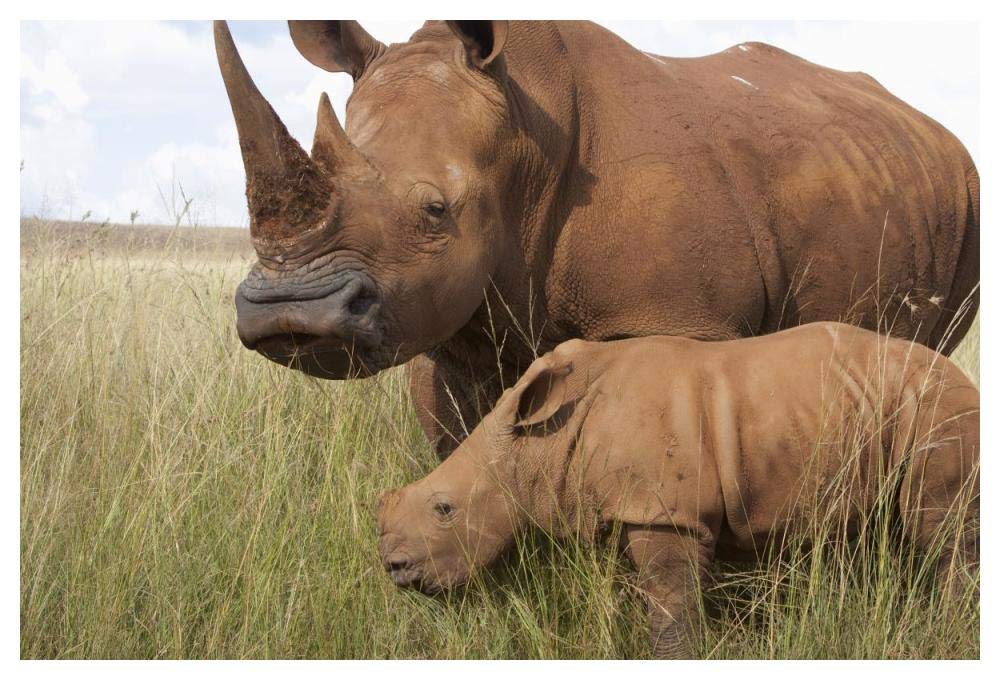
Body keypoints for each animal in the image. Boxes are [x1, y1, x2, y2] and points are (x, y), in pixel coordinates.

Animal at [215, 20, 979, 457]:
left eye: (436, 210)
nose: (290, 313)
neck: (523, 132)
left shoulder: (675, 318)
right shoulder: (446, 323)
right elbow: (459, 448)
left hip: (967, 192)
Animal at [376, 323, 980, 658]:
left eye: (445, 509)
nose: (395, 569)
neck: (537, 443)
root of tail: (966, 379)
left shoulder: (667, 512)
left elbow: (671, 608)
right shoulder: (628, 504)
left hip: (940, 411)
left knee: (938, 532)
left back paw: (948, 631)